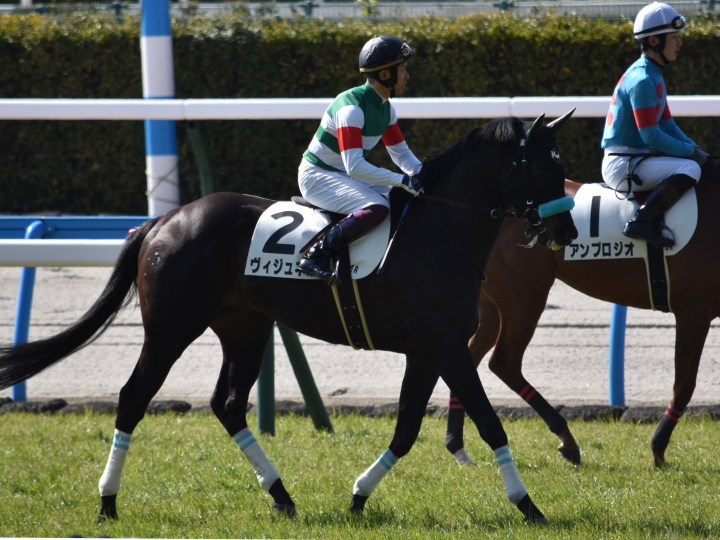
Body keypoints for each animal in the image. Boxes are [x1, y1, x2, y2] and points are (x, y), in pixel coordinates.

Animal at [0, 113, 578, 524]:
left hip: (244, 326)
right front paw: (528, 505)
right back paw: (108, 502)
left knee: (228, 404)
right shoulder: (446, 347)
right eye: (543, 167)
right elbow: (489, 422)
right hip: (170, 328)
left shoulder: (428, 350)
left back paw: (281, 495)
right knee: (133, 398)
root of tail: (163, 220)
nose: (567, 231)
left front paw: (358, 496)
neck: (440, 229)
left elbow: (407, 428)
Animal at [443, 162, 720, 468]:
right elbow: (684, 384)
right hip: (524, 297)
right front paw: (658, 448)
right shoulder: (693, 311)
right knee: (504, 362)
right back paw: (566, 438)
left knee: (468, 358)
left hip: (493, 304)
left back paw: (457, 445)